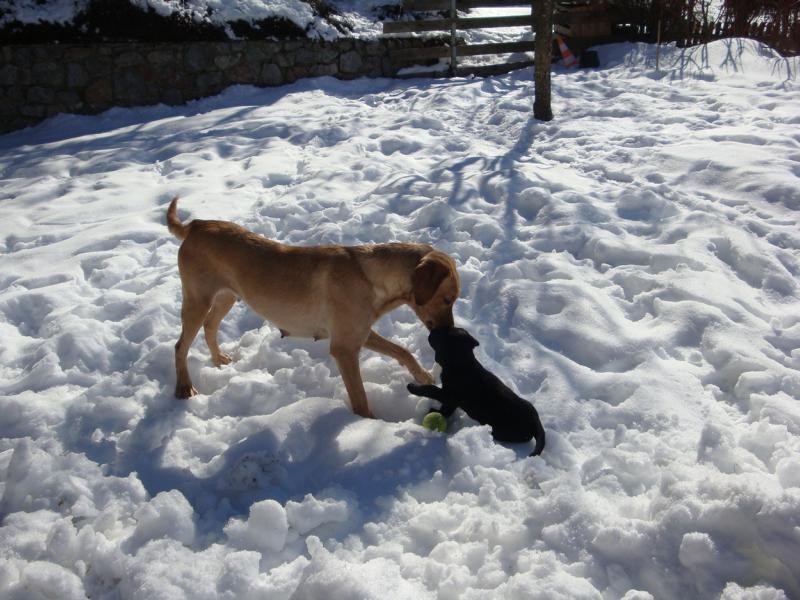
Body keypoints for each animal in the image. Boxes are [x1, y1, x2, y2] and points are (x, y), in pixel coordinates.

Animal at [166, 197, 460, 418]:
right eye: (448, 299)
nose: (451, 334)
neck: (371, 277)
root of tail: (196, 225)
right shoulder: (344, 349)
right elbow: (360, 399)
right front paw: (368, 424)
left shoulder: (359, 334)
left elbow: (402, 351)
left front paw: (423, 375)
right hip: (197, 300)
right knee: (181, 346)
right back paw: (184, 387)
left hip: (226, 296)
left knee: (210, 326)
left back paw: (218, 359)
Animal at [410, 328, 548, 454]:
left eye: (441, 334)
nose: (431, 331)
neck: (462, 363)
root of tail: (536, 422)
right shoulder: (452, 401)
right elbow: (446, 410)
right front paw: (438, 412)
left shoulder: (450, 396)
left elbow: (431, 390)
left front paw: (413, 388)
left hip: (502, 431)